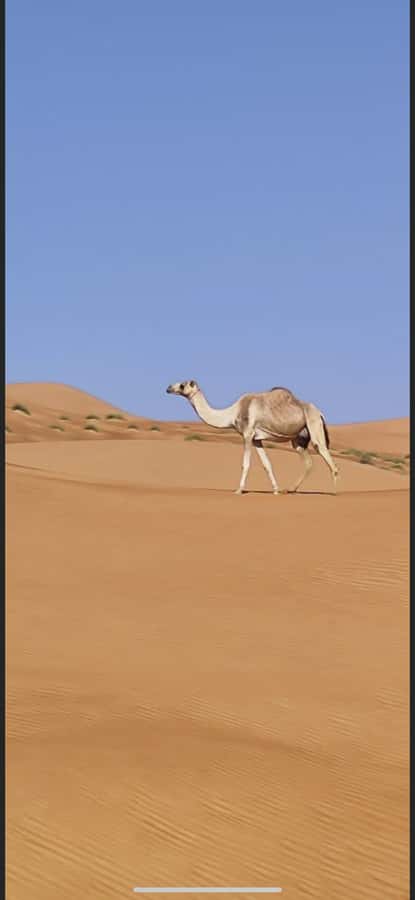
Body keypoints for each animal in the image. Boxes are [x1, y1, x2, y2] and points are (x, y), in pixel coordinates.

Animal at [166, 380, 338, 495]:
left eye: (182, 385)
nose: (168, 388)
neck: (232, 414)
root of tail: (320, 413)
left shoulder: (247, 434)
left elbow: (245, 464)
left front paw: (239, 490)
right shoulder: (257, 439)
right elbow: (267, 464)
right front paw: (276, 490)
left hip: (314, 425)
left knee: (324, 453)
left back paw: (335, 492)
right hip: (298, 438)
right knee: (308, 461)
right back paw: (289, 489)